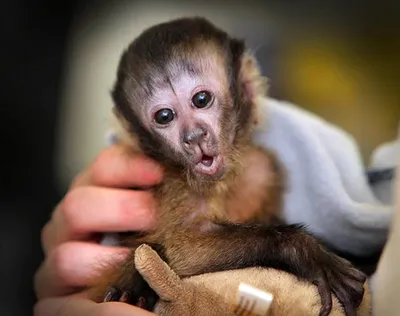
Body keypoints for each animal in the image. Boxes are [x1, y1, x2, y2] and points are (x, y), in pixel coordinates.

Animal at [92, 17, 368, 316]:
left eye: (201, 100)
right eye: (164, 116)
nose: (193, 137)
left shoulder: (263, 168)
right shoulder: (173, 180)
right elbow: (183, 249)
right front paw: (303, 250)